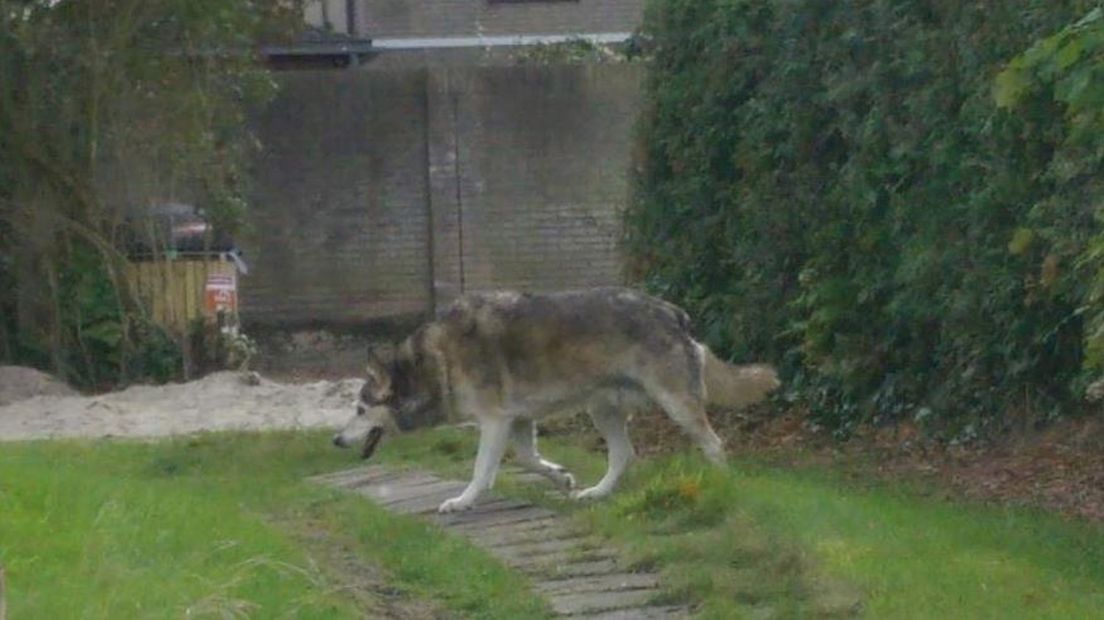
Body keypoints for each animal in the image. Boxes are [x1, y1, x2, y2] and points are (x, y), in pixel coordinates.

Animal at [331, 286, 781, 509]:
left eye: (360, 409)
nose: (335, 440)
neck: (435, 362)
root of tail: (676, 314)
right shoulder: (517, 420)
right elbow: (529, 459)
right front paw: (562, 477)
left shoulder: (494, 421)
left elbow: (481, 470)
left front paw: (462, 502)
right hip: (601, 410)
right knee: (624, 456)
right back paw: (596, 494)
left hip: (676, 407)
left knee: (715, 445)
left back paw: (724, 486)